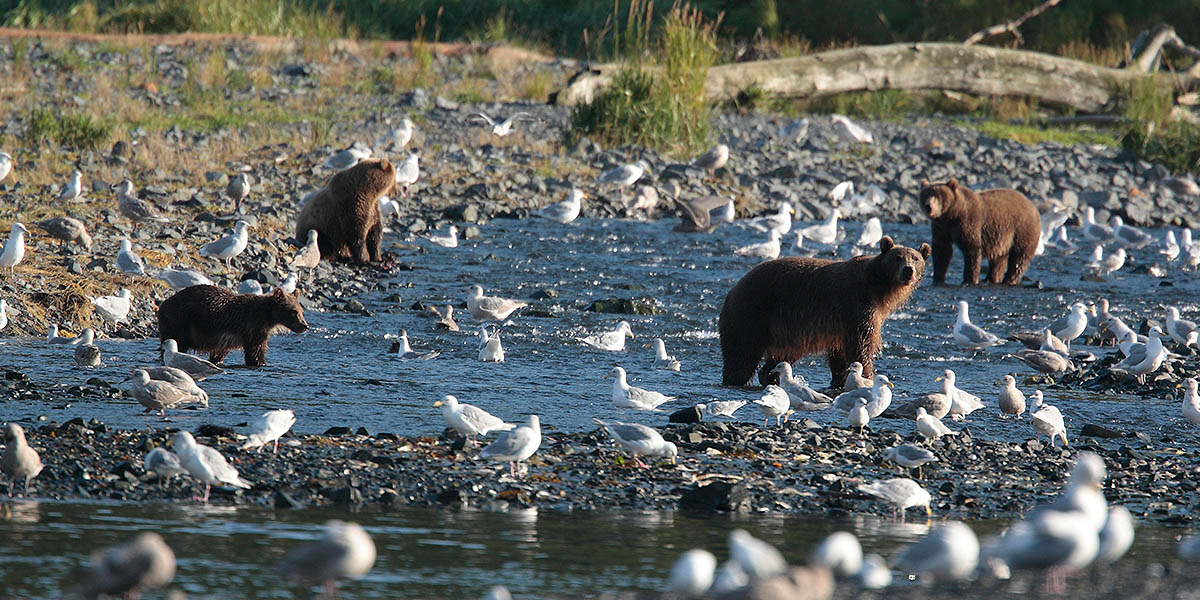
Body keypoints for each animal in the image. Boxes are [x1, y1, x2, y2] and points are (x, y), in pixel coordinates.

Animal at [158, 284, 309, 364]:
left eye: (301, 311)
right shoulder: (252, 327)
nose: (305, 326)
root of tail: (163, 304)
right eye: (294, 311)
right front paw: (260, 362)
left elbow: (220, 352)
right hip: (178, 322)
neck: (268, 317)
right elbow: (255, 350)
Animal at [715, 234, 931, 384]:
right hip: (752, 313)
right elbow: (861, 344)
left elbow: (841, 353)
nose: (908, 270)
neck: (879, 289)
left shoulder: (844, 324)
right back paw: (736, 378)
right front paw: (868, 375)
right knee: (742, 353)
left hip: (787, 332)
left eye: (915, 258)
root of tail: (733, 288)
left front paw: (841, 378)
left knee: (781, 356)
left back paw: (770, 376)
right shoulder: (856, 304)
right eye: (898, 257)